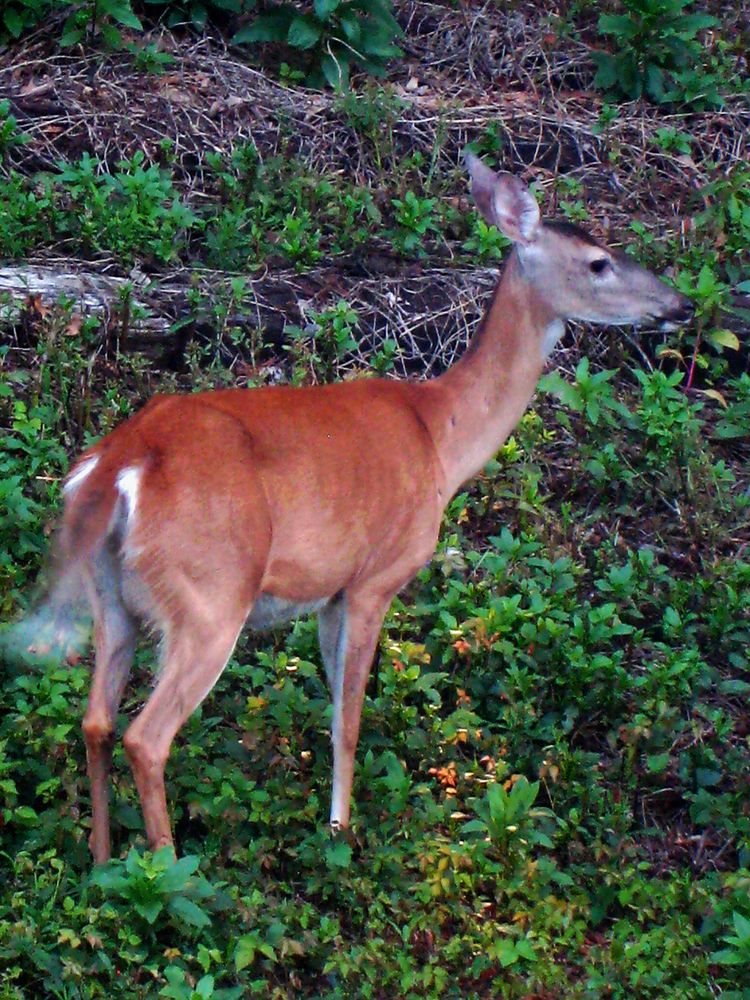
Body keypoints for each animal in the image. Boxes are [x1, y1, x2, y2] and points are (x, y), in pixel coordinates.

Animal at [23, 152, 692, 864]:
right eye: (599, 262)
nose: (678, 305)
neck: (440, 436)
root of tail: (119, 465)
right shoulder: (377, 575)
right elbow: (349, 718)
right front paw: (341, 834)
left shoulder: (332, 589)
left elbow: (330, 709)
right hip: (209, 596)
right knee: (145, 737)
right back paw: (171, 871)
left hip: (112, 598)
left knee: (95, 721)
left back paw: (102, 864)